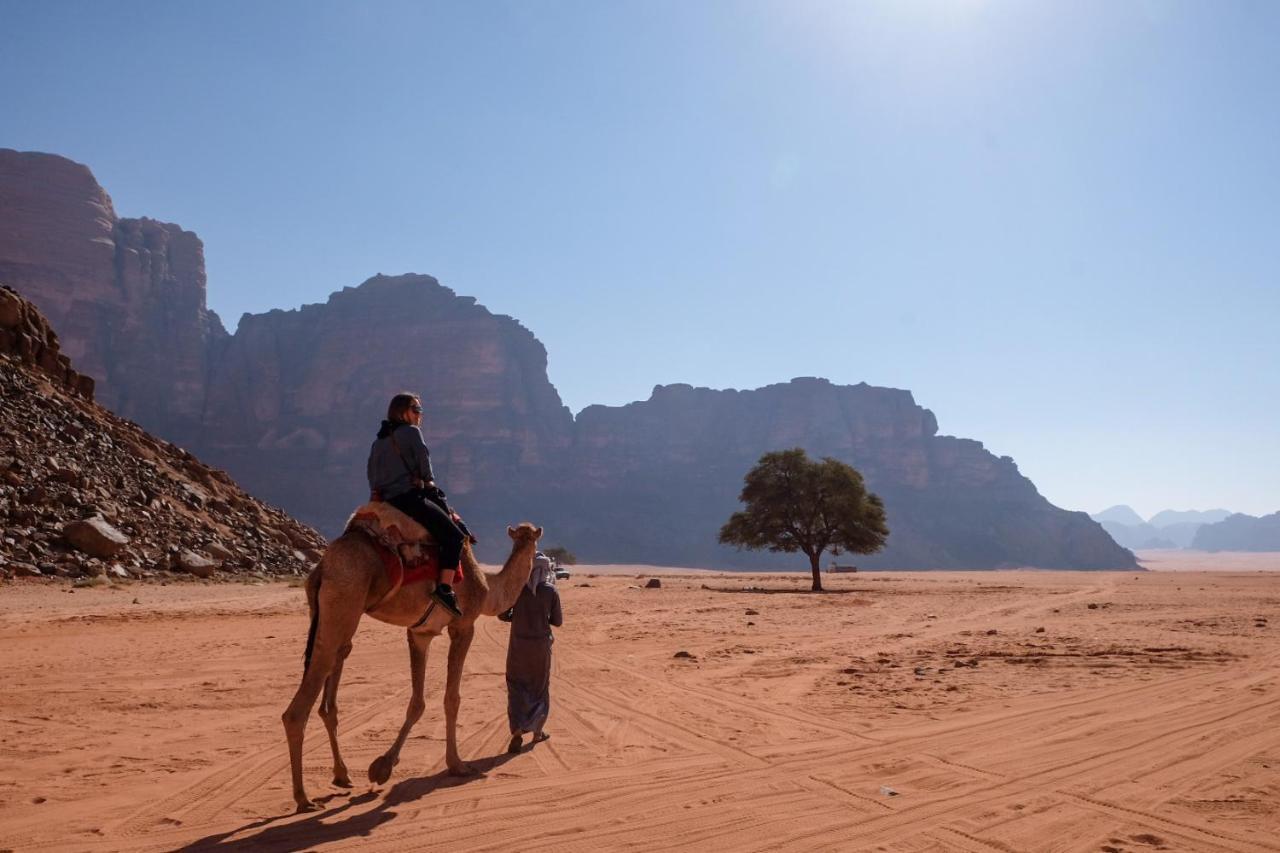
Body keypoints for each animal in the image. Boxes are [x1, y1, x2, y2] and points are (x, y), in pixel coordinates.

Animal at [282, 512, 542, 809]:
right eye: (535, 542)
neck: (489, 589)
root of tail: (323, 567)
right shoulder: (464, 625)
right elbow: (452, 699)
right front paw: (457, 765)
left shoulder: (420, 633)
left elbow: (417, 703)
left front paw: (383, 767)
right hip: (344, 598)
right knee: (300, 704)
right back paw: (303, 798)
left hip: (332, 615)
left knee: (331, 689)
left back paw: (342, 775)